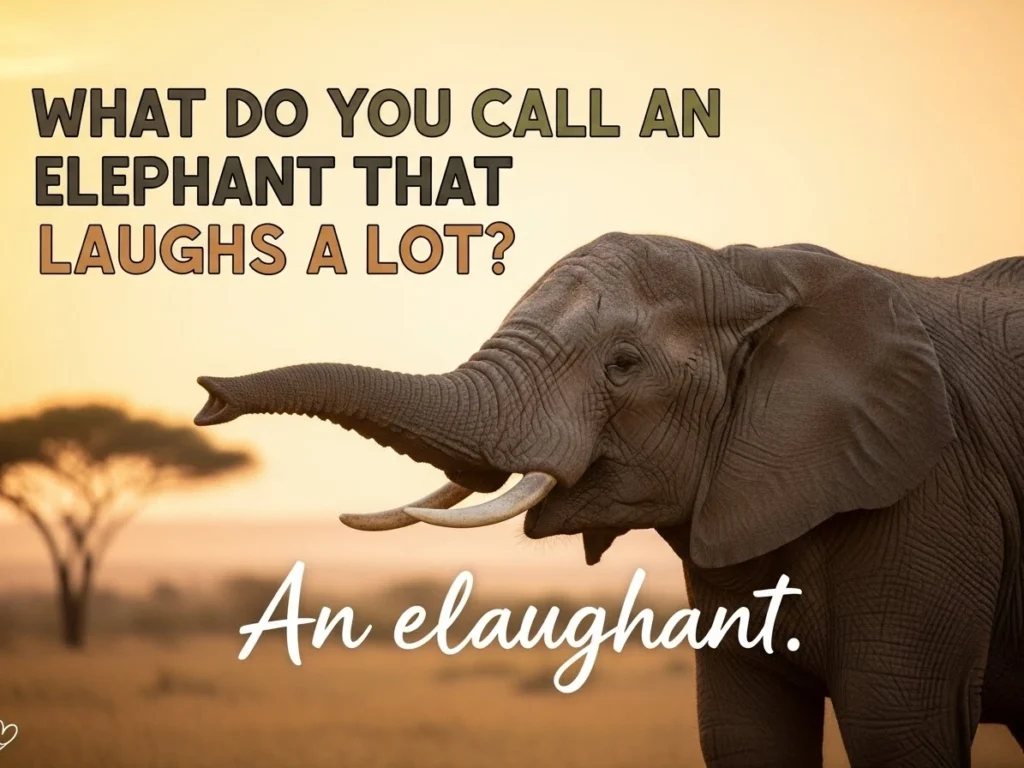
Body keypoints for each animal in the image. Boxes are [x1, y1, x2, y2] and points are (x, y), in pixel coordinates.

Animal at [192, 233, 1023, 767]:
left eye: (623, 365)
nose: (209, 397)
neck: (757, 275)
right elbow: (740, 730)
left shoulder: (936, 496)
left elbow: (895, 724)